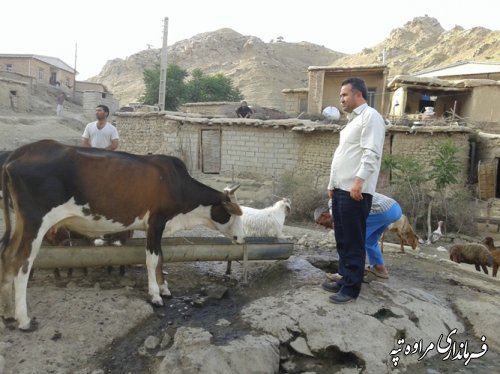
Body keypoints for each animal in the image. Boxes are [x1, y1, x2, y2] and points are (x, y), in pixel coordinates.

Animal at [0, 140, 245, 330]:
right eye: (235, 214)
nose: (242, 238)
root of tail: (23, 151)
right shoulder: (156, 221)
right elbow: (152, 259)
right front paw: (155, 295)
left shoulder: (157, 226)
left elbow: (161, 257)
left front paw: (164, 288)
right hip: (35, 222)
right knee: (22, 263)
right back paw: (23, 319)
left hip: (20, 222)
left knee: (7, 257)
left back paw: (8, 313)